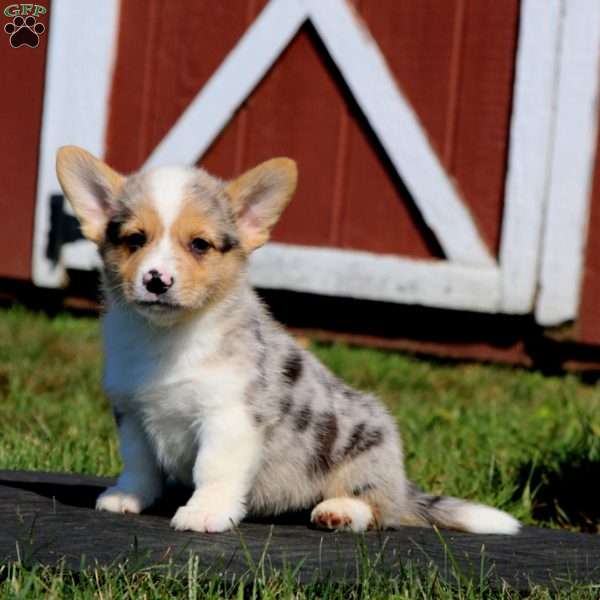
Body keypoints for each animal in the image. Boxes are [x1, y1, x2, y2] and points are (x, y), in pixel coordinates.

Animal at [56, 146, 520, 536]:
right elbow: (139, 463)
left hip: (366, 451)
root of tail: (402, 485)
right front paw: (127, 497)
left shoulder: (228, 417)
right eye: (134, 240)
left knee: (377, 509)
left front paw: (205, 512)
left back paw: (339, 511)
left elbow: (213, 468)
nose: (156, 280)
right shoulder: (132, 413)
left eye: (200, 245)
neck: (167, 336)